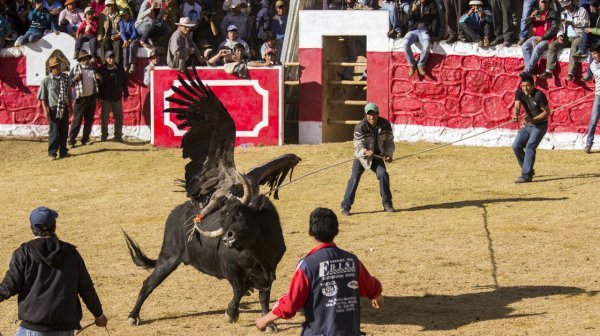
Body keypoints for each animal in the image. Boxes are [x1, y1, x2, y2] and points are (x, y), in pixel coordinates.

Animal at [122, 197, 286, 326]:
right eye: (225, 222)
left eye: (242, 217)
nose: (227, 239)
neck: (260, 255)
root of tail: (177, 212)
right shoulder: (229, 267)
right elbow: (238, 290)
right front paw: (231, 314)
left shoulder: (270, 271)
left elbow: (264, 296)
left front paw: (269, 324)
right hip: (168, 258)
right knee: (148, 284)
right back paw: (133, 317)